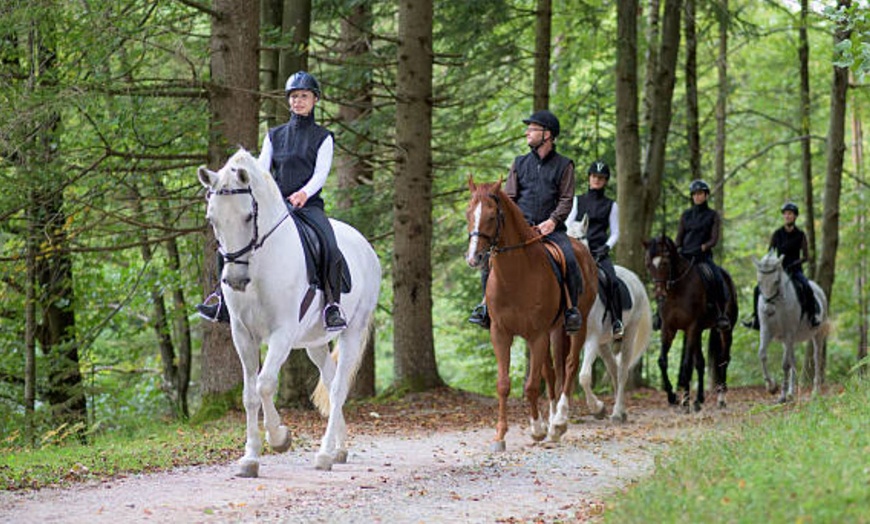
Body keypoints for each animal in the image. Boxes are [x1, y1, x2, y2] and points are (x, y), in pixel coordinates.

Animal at [198, 147, 382, 474]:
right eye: (212, 218)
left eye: (248, 216)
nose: (236, 280)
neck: (259, 263)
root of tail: (365, 246)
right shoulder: (242, 334)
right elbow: (249, 394)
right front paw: (250, 458)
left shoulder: (281, 333)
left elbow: (265, 384)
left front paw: (280, 437)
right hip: (315, 342)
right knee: (331, 380)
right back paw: (339, 449)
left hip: (352, 330)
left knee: (338, 388)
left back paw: (324, 454)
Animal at [464, 178, 600, 452]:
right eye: (468, 213)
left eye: (492, 216)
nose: (474, 258)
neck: (515, 275)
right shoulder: (501, 334)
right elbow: (504, 385)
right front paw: (500, 436)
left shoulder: (536, 335)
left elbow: (531, 386)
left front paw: (537, 430)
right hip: (554, 331)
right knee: (554, 371)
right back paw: (552, 421)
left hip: (576, 326)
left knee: (570, 366)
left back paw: (559, 422)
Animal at [568, 213, 652, 422]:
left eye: (581, 238)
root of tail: (635, 279)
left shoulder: (590, 338)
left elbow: (584, 376)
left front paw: (598, 408)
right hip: (603, 343)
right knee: (613, 368)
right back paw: (620, 410)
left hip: (628, 333)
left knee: (622, 371)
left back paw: (616, 413)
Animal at [644, 235, 740, 412]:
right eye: (648, 264)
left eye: (665, 263)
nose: (660, 295)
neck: (677, 290)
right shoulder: (669, 328)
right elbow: (663, 361)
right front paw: (674, 397)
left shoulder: (691, 327)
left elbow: (687, 365)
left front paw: (685, 401)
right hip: (699, 332)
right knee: (701, 363)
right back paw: (698, 400)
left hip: (725, 330)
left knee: (723, 360)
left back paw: (721, 399)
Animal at [756, 250, 832, 402]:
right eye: (760, 282)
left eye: (776, 281)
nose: (768, 310)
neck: (778, 304)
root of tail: (819, 290)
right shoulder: (767, 331)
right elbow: (762, 354)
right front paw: (771, 387)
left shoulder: (789, 333)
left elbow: (785, 364)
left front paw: (782, 395)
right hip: (789, 340)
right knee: (793, 360)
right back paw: (791, 393)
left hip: (817, 334)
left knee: (816, 358)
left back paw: (815, 391)